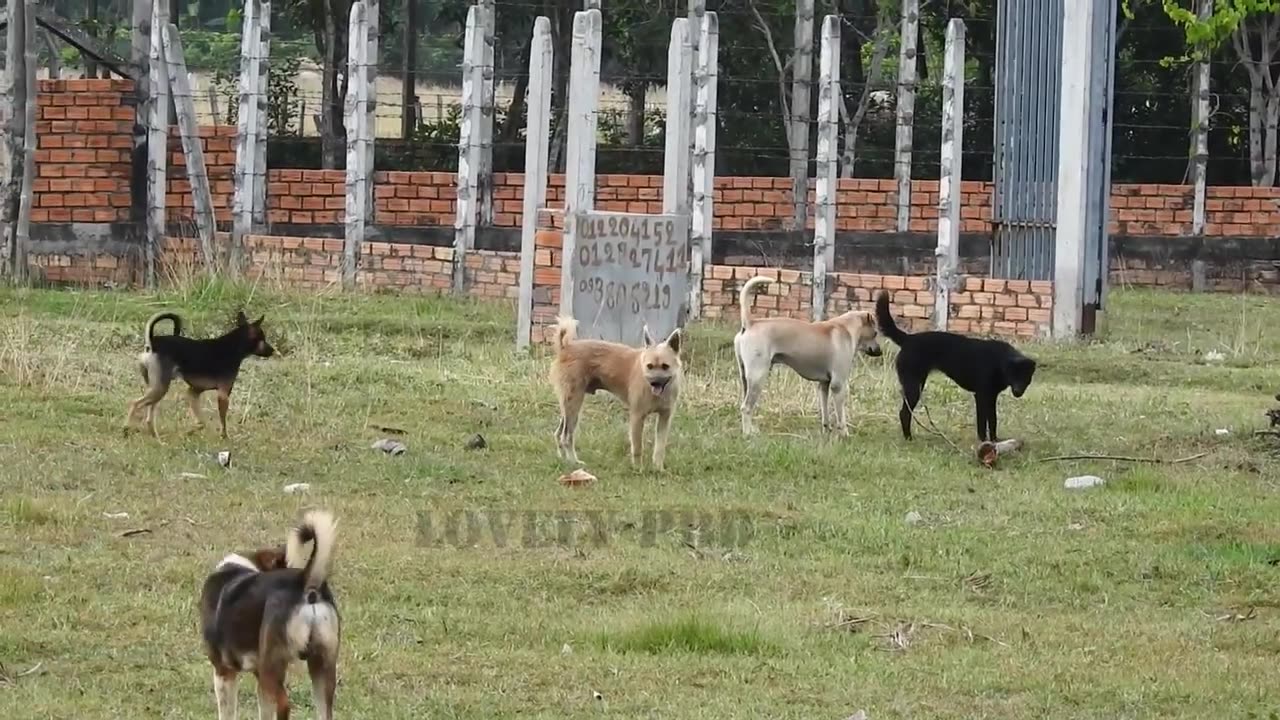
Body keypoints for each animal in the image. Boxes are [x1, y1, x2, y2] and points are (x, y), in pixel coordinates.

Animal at [124, 308, 275, 438]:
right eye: (263, 339)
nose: (272, 350)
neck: (233, 346)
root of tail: (153, 343)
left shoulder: (193, 392)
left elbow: (201, 422)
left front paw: (192, 430)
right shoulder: (223, 395)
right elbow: (222, 421)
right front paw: (225, 437)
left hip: (156, 388)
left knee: (149, 415)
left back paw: (155, 436)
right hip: (160, 388)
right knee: (135, 404)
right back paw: (126, 428)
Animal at [199, 507, 340, 717]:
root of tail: (305, 581)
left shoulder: (223, 672)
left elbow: (227, 712)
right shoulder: (257, 676)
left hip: (272, 667)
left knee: (284, 704)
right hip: (322, 666)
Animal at [552, 316, 691, 468]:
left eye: (665, 366)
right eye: (649, 366)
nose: (654, 383)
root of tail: (566, 347)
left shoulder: (665, 418)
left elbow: (660, 446)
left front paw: (658, 468)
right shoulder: (637, 417)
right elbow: (637, 447)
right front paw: (638, 469)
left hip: (568, 407)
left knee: (559, 433)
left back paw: (563, 459)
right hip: (574, 404)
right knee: (566, 436)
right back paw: (573, 461)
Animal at [737, 272, 885, 430]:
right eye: (875, 333)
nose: (879, 351)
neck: (846, 328)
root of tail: (750, 323)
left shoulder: (824, 384)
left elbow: (825, 411)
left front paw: (826, 429)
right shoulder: (838, 384)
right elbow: (841, 416)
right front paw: (844, 432)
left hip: (746, 378)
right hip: (758, 376)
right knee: (746, 407)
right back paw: (748, 433)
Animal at [875, 288, 1034, 440]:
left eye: (1025, 377)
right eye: (1014, 375)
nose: (1018, 392)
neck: (1000, 363)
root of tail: (908, 339)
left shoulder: (991, 397)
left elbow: (993, 421)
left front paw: (995, 441)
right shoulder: (981, 396)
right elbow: (982, 424)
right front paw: (984, 442)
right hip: (913, 387)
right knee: (904, 413)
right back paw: (908, 438)